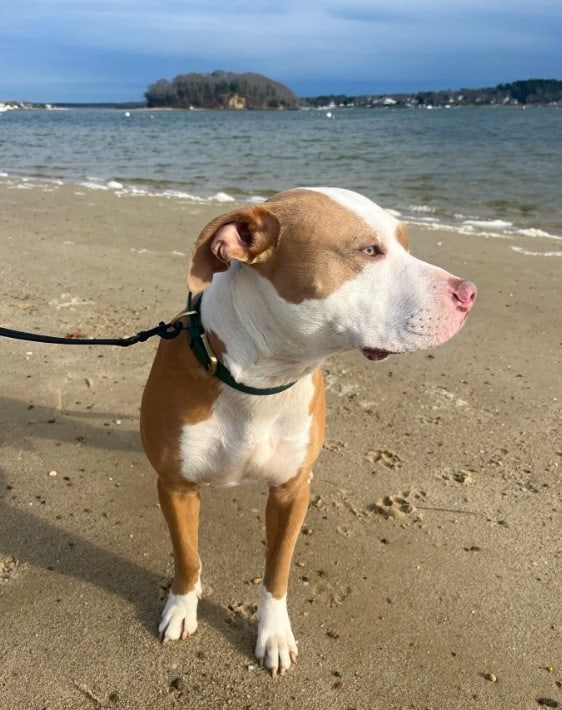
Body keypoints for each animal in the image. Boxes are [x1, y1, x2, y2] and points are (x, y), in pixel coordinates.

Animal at [138, 186, 474, 676]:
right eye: (368, 250)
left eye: (405, 244)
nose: (469, 292)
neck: (261, 380)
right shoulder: (176, 486)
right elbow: (187, 554)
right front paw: (182, 606)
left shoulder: (292, 492)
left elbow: (277, 568)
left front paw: (274, 635)